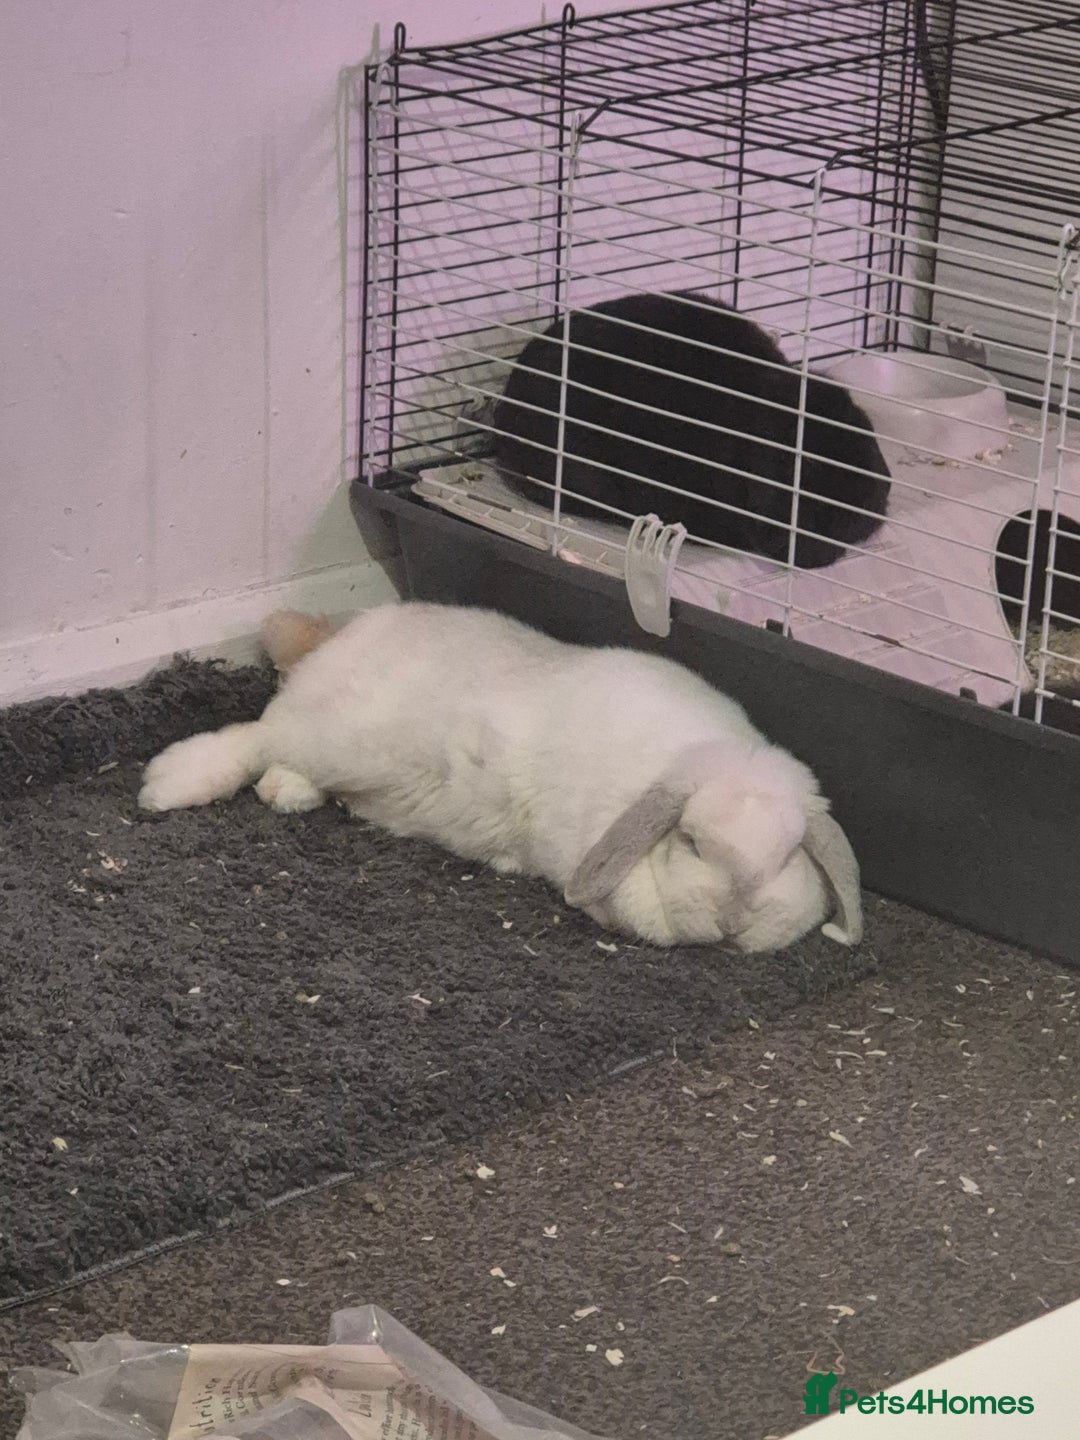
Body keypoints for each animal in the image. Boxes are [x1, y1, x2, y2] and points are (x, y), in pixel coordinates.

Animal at [138, 602, 863, 953]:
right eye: (689, 842)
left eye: (788, 856)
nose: (735, 917)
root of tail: (345, 636)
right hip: (344, 738)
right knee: (258, 734)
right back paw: (169, 784)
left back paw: (286, 793)